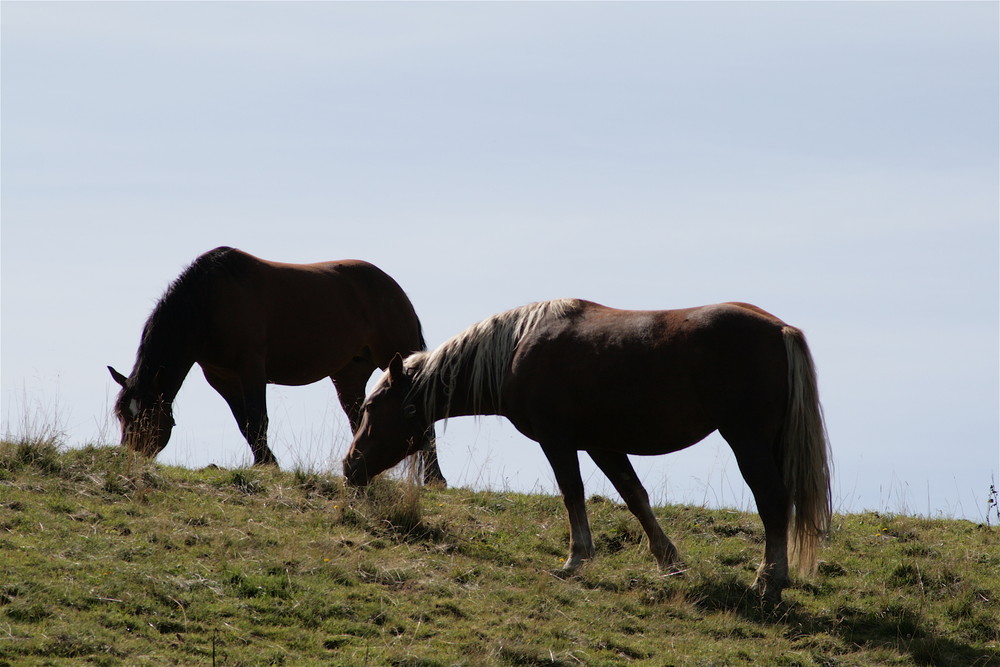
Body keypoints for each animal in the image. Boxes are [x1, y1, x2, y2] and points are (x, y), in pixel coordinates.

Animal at [108, 248, 446, 482]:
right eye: (122, 415)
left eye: (148, 417)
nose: (131, 458)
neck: (210, 301)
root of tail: (394, 289)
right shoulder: (222, 378)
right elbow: (245, 423)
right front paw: (266, 462)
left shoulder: (252, 368)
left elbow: (258, 418)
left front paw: (267, 465)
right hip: (349, 375)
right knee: (358, 419)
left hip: (394, 356)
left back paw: (434, 480)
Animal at [348, 300, 832, 604]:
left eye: (370, 407)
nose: (349, 466)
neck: (517, 349)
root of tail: (780, 330)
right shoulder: (603, 445)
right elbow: (635, 497)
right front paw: (669, 562)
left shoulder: (558, 442)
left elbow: (572, 494)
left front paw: (575, 559)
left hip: (747, 440)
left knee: (772, 501)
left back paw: (768, 581)